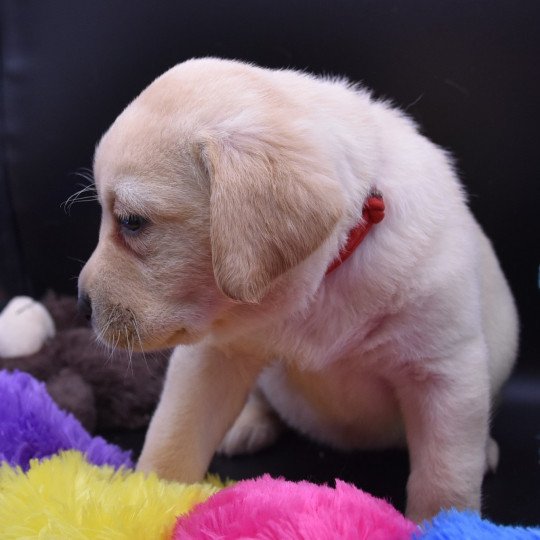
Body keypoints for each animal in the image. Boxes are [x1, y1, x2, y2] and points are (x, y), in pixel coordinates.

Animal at [78, 57, 516, 520]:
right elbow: (173, 435)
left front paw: (444, 524)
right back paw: (247, 424)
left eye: (132, 222)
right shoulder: (213, 353)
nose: (81, 305)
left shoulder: (445, 372)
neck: (323, 282)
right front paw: (147, 505)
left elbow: (444, 478)